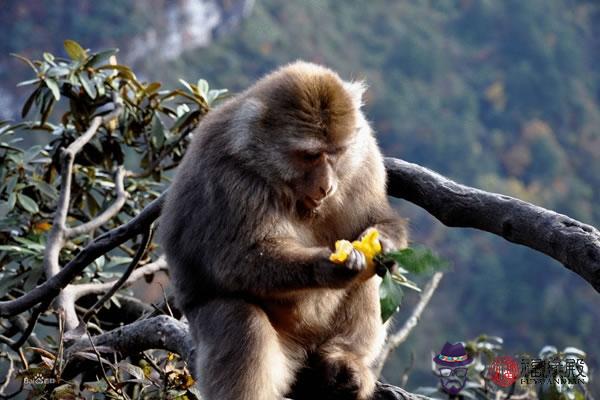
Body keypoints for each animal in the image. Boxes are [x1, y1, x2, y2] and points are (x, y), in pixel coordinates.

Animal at [161, 60, 408, 400]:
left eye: (335, 153)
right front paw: (325, 267)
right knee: (242, 321)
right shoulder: (229, 177)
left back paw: (345, 360)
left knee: (372, 277)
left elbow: (375, 220)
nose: (326, 186)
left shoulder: (365, 158)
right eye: (309, 155)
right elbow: (236, 261)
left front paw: (384, 244)